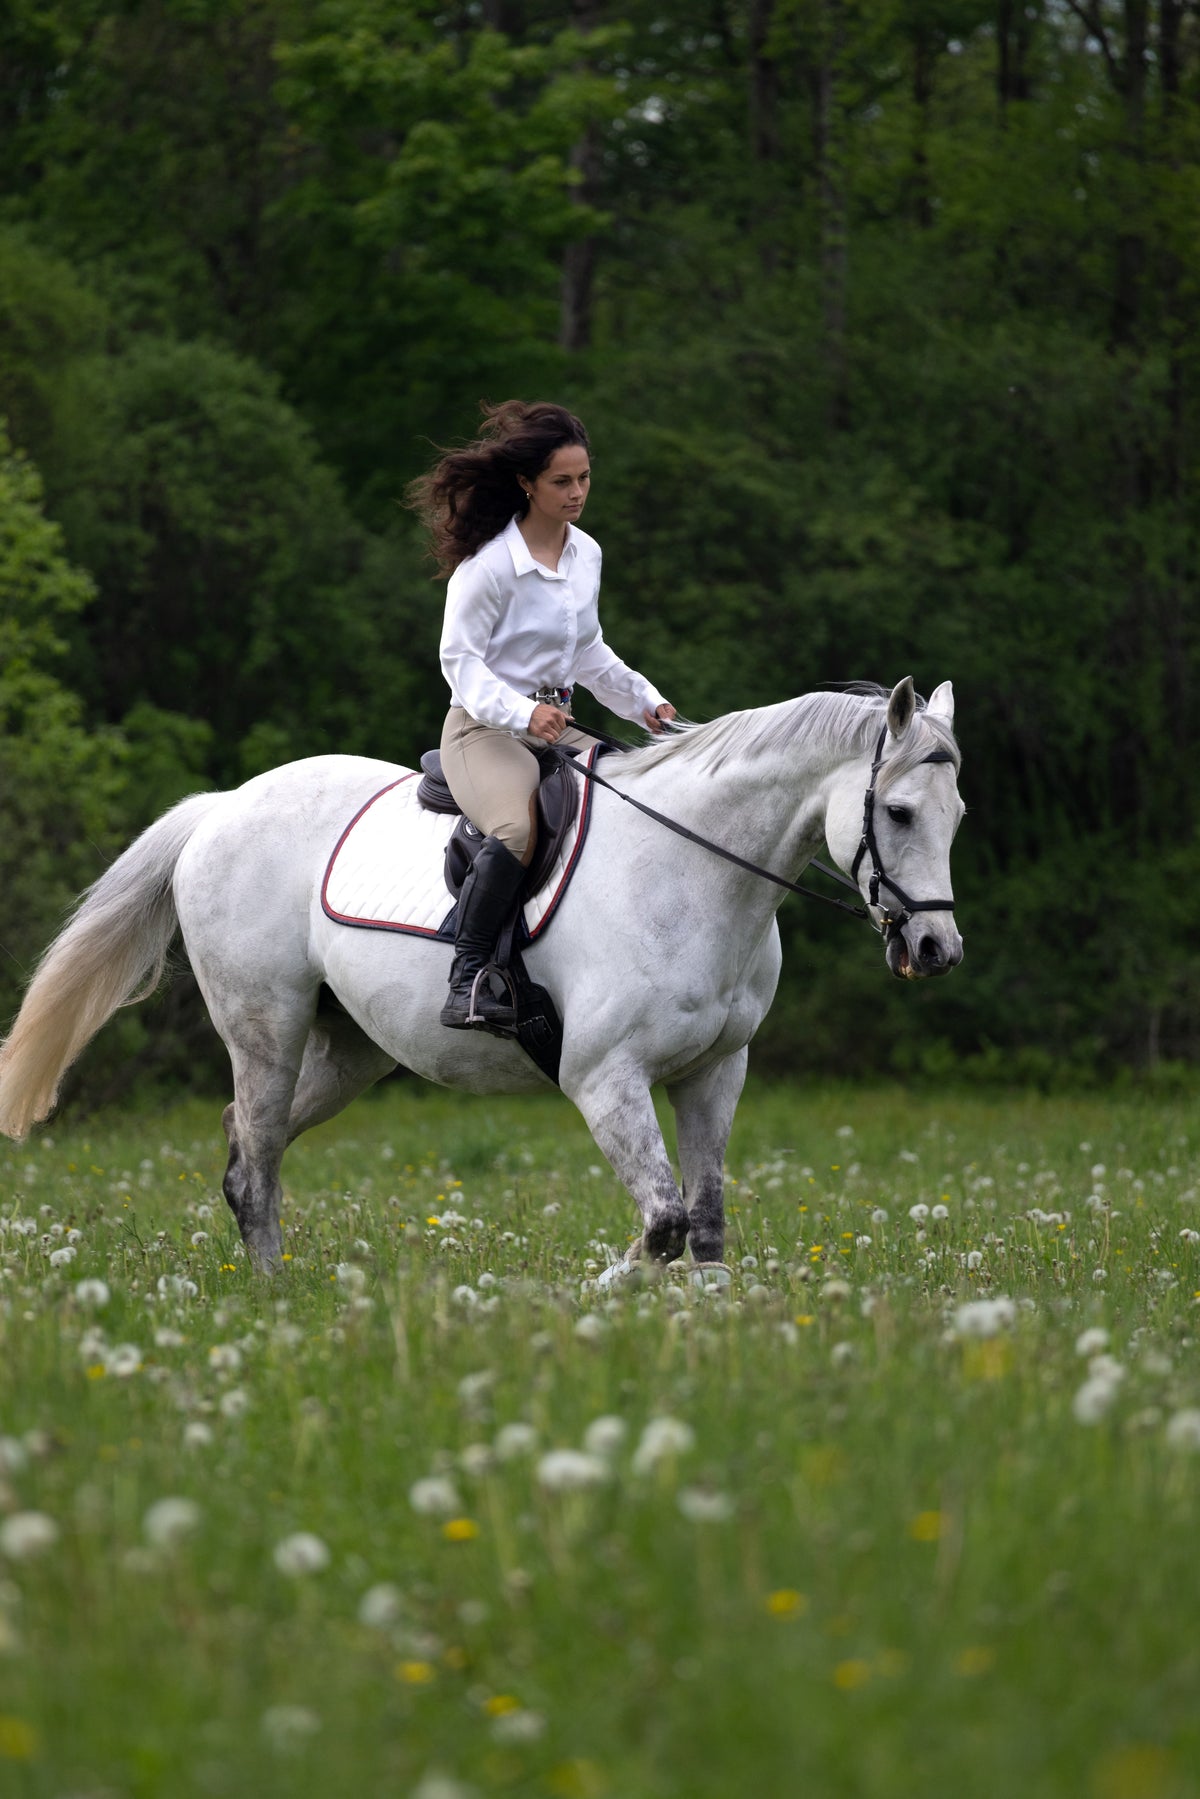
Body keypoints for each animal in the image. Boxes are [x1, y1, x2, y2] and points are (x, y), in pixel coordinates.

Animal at [0, 677, 964, 1277]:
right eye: (897, 811)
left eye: (955, 812)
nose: (936, 950)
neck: (692, 873)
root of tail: (222, 807)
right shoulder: (604, 1079)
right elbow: (661, 1225)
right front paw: (601, 1295)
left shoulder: (714, 1072)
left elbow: (707, 1225)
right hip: (264, 1027)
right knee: (255, 1157)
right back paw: (274, 1297)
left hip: (351, 1052)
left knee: (250, 1144)